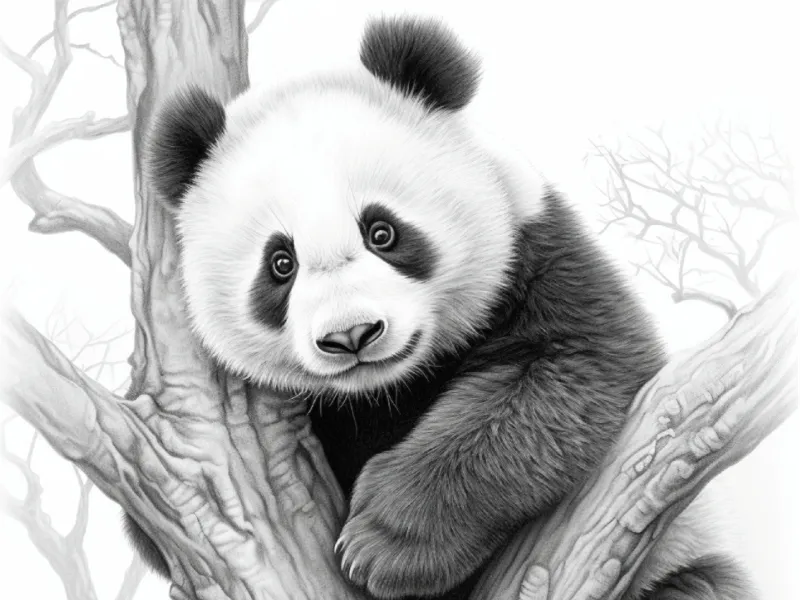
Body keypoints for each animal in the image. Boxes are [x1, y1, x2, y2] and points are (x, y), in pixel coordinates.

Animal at [124, 14, 758, 600]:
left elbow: (560, 380)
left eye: (382, 232)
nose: (352, 335)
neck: (385, 391)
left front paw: (383, 543)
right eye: (281, 264)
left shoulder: (534, 253)